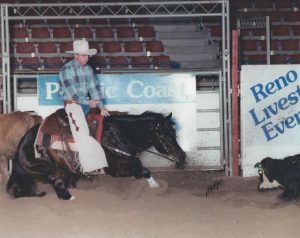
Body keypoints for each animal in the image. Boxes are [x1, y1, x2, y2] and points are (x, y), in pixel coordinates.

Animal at [7, 109, 185, 200]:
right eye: (165, 136)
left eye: (174, 133)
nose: (182, 156)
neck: (116, 135)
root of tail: (23, 141)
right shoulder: (115, 170)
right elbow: (143, 169)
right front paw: (155, 186)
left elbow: (140, 167)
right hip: (45, 167)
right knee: (55, 181)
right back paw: (69, 196)